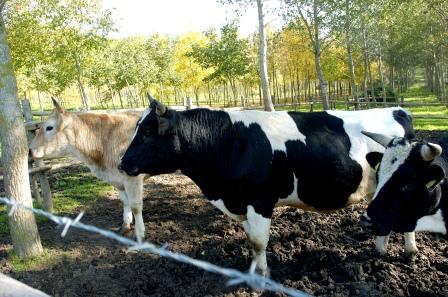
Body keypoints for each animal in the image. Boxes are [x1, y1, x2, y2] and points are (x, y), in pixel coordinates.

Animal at [30, 99, 145, 240]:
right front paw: (125, 225)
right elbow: (125, 201)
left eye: (49, 127)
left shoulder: (132, 178)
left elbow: (135, 207)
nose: (30, 150)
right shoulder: (118, 180)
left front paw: (140, 235)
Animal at [118, 99, 412, 272]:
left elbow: (259, 242)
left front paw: (262, 277)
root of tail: (396, 109)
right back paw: (379, 252)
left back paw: (409, 253)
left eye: (147, 132)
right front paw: (254, 270)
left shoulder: (260, 201)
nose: (122, 163)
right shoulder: (241, 203)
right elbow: (251, 240)